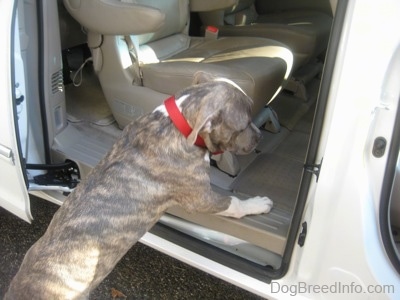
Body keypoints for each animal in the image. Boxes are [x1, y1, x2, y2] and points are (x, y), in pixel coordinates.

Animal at [6, 77, 274, 298]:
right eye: (244, 124)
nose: (260, 136)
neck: (178, 124)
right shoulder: (201, 197)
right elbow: (234, 203)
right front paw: (258, 204)